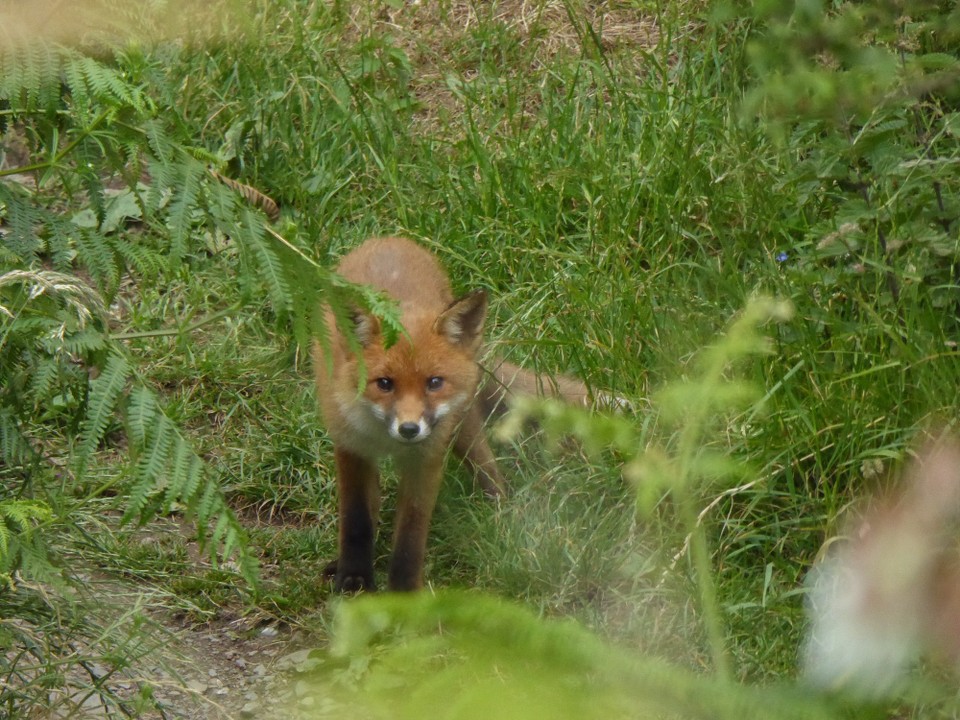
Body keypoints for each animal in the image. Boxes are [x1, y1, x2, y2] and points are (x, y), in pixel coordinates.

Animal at [312, 236, 592, 592]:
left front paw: (404, 592)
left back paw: (499, 511)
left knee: (486, 465)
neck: (384, 436)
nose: (409, 429)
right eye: (384, 383)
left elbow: (411, 536)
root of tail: (390, 238)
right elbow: (357, 520)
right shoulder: (350, 445)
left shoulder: (427, 458)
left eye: (434, 383)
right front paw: (354, 579)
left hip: (461, 424)